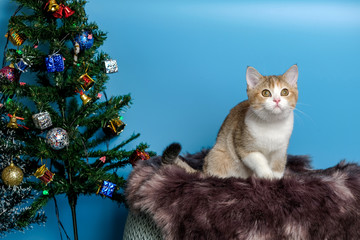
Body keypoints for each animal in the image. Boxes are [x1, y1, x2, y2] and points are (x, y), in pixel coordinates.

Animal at [162, 64, 298, 179]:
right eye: (265, 93)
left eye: (284, 92)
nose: (277, 100)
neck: (272, 124)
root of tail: (204, 170)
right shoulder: (243, 145)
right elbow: (258, 160)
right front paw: (267, 175)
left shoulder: (281, 150)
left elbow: (279, 164)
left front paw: (277, 179)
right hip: (218, 155)